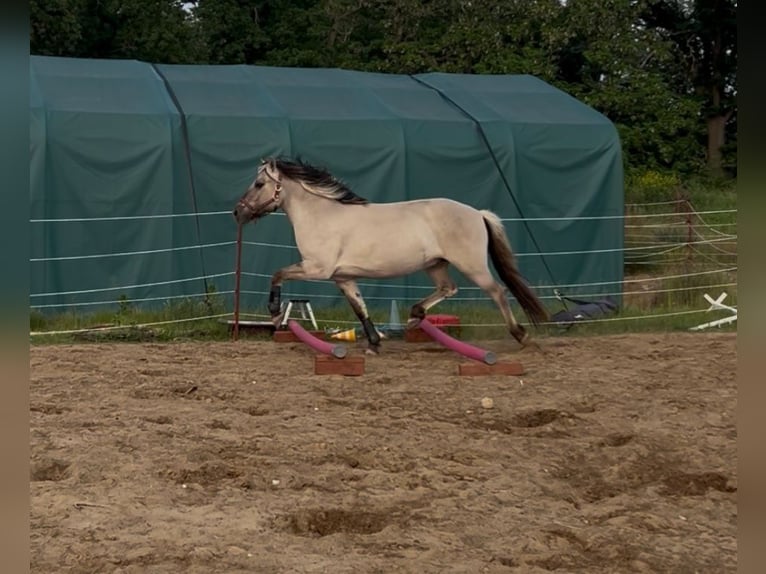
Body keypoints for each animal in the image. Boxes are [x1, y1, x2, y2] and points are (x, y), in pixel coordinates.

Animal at [233, 157, 549, 354]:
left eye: (259, 184)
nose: (237, 212)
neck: (321, 215)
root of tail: (478, 213)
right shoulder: (343, 278)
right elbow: (359, 309)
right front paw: (374, 344)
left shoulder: (316, 269)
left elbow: (277, 274)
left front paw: (275, 314)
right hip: (435, 265)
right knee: (448, 288)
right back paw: (415, 316)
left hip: (472, 266)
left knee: (497, 292)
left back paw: (522, 336)